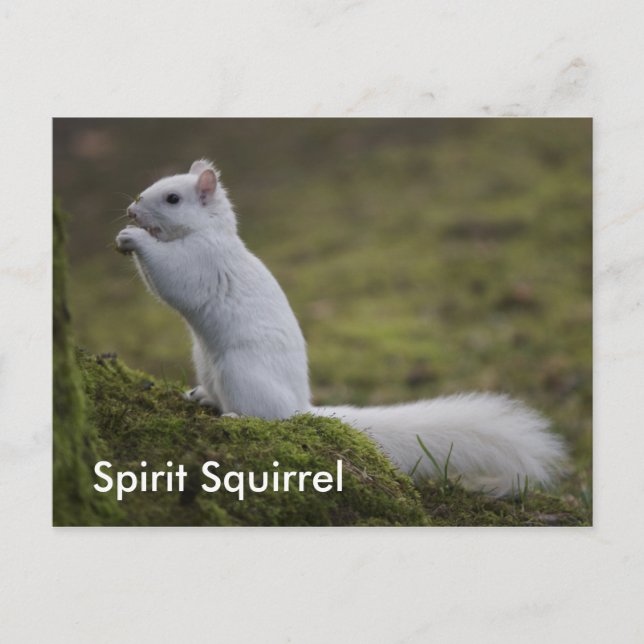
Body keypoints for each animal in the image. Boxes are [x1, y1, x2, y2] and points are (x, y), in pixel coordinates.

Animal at [116, 159, 567, 496]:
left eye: (173, 198)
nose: (132, 209)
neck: (209, 231)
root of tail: (300, 404)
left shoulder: (201, 262)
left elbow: (172, 277)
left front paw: (134, 237)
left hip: (240, 372)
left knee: (269, 417)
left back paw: (236, 417)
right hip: (207, 364)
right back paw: (202, 397)